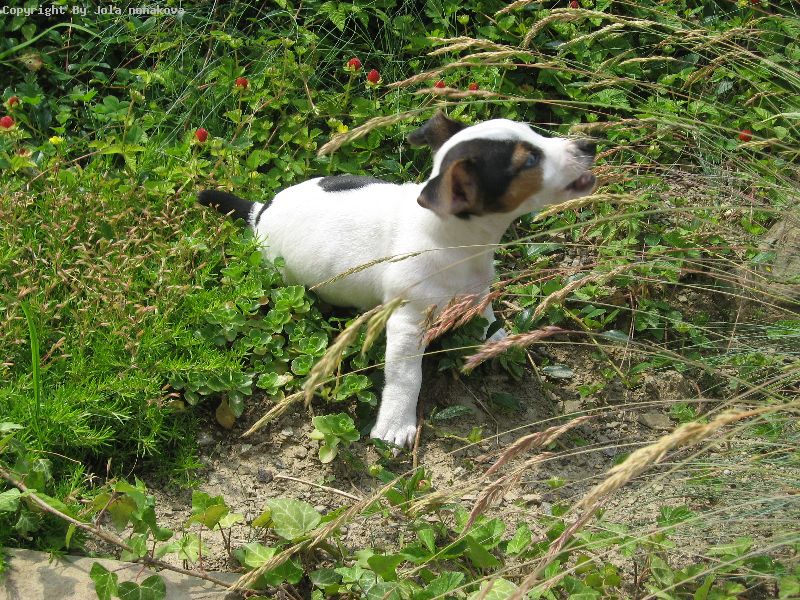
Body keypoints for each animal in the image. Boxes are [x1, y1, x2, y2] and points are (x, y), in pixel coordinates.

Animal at [199, 111, 597, 449]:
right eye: (528, 162)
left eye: (534, 132)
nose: (589, 145)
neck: (451, 236)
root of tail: (260, 212)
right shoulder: (408, 321)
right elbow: (407, 376)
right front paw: (395, 423)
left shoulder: (475, 288)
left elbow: (485, 314)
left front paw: (496, 340)